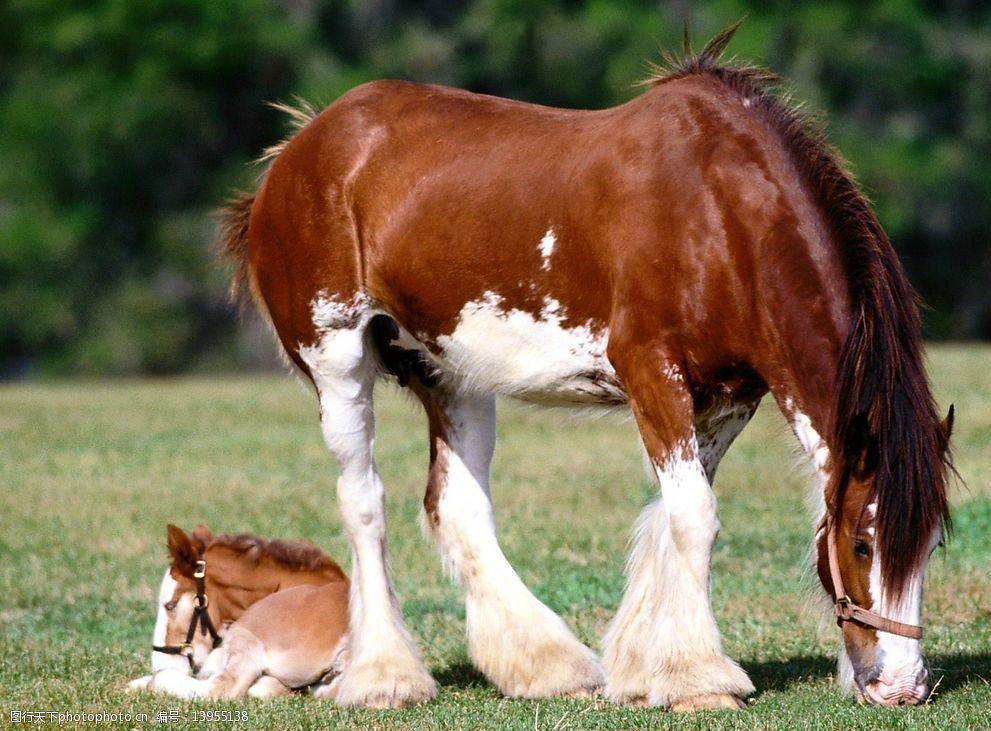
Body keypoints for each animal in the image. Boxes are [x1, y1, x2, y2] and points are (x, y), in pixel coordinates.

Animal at [219, 25, 952, 712]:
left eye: (931, 544)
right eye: (862, 543)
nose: (902, 686)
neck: (718, 212)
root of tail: (295, 152)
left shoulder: (728, 398)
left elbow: (668, 516)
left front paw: (641, 668)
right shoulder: (651, 371)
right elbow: (693, 516)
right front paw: (699, 680)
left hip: (451, 374)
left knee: (456, 506)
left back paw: (548, 665)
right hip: (337, 360)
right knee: (363, 501)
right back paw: (384, 677)